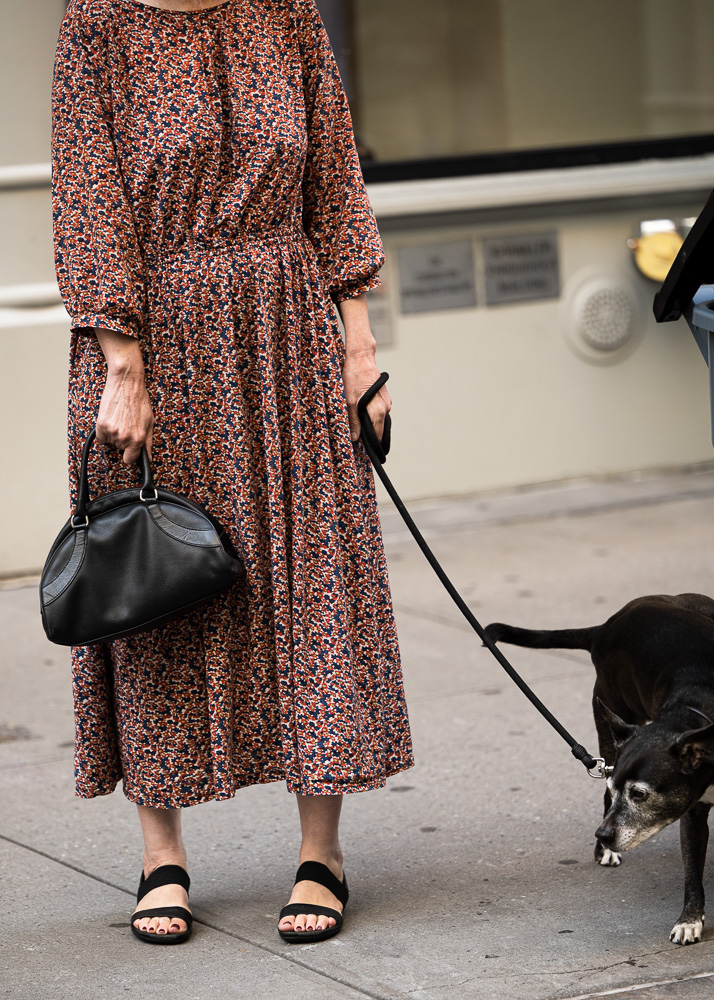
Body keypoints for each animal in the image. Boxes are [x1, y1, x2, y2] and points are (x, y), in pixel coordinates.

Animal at [486, 592, 712, 944]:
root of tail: (605, 627)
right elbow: (692, 874)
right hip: (608, 721)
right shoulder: (692, 813)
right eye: (616, 788)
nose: (602, 834)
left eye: (640, 795)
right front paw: (690, 920)